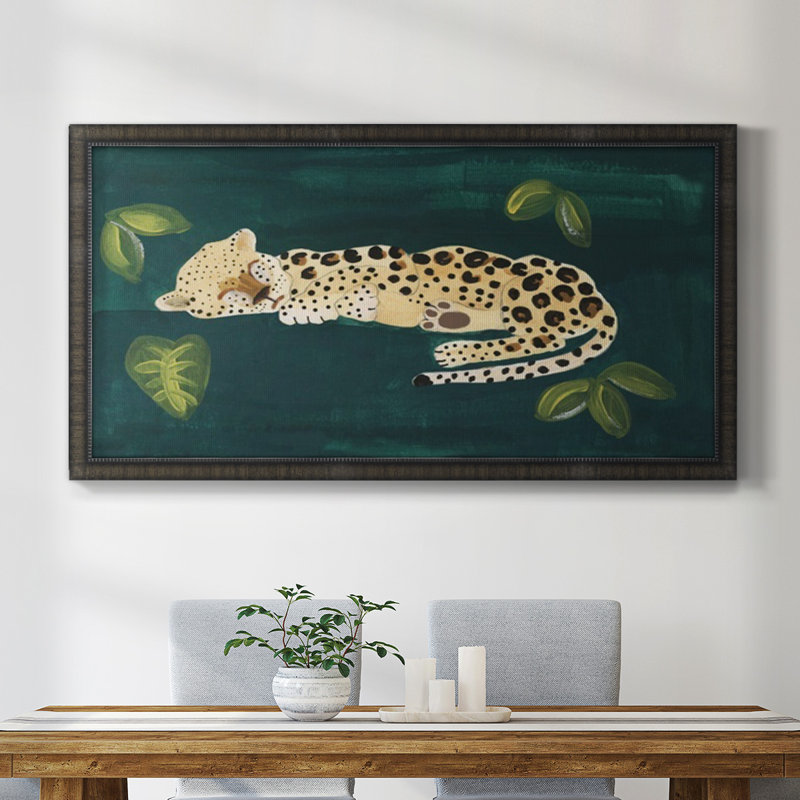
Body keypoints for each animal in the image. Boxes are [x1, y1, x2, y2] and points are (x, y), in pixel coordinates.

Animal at [155, 228, 618, 386]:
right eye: (225, 295)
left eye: (254, 268)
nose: (262, 296)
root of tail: (597, 299)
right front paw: (315, 308)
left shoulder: (387, 258)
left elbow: (344, 278)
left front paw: (316, 301)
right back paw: (447, 318)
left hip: (526, 283)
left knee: (538, 339)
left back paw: (455, 351)